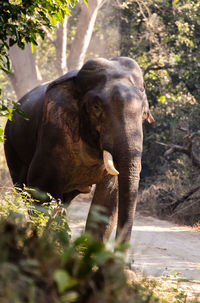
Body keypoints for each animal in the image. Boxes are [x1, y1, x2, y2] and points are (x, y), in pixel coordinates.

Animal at [4, 57, 155, 247]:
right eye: (96, 107)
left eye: (144, 113)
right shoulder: (54, 131)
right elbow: (40, 186)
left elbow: (108, 196)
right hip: (11, 146)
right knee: (25, 189)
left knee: (65, 199)